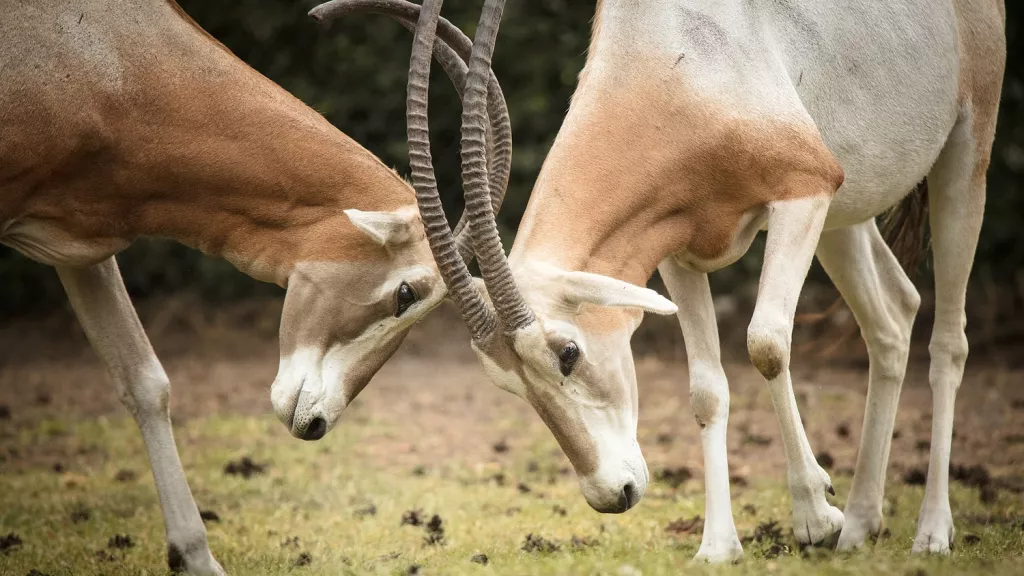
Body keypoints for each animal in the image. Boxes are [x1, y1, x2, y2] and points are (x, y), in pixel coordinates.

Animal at [0, 2, 512, 569]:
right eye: (406, 294)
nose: (315, 423)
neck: (109, 62)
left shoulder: (82, 248)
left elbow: (145, 382)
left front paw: (197, 559)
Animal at [325, 0, 999, 561]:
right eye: (508, 386)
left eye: (568, 352)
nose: (613, 493)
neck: (675, 59)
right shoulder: (677, 248)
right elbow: (705, 389)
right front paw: (718, 546)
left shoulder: (803, 190)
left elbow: (765, 344)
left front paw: (814, 517)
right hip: (846, 213)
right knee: (893, 315)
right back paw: (861, 523)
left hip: (962, 156)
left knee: (949, 338)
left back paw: (930, 531)